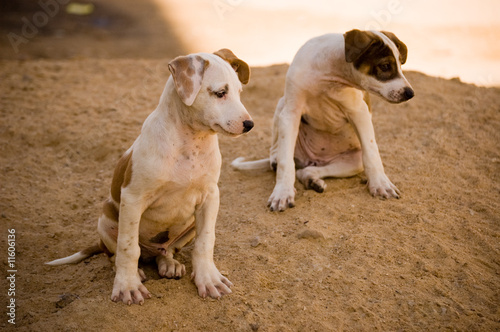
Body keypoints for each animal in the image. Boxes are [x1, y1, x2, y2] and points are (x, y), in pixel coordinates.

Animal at [47, 48, 254, 304]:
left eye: (239, 92)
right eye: (220, 93)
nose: (249, 124)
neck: (189, 142)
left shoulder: (210, 197)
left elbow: (205, 242)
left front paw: (208, 279)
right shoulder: (133, 198)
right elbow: (127, 248)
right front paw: (127, 287)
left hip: (187, 227)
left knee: (166, 251)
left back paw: (169, 264)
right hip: (105, 220)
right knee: (116, 254)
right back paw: (134, 272)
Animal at [233, 29, 414, 211]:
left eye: (400, 64)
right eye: (385, 66)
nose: (410, 93)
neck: (327, 75)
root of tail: (313, 160)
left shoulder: (359, 112)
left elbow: (372, 154)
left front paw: (381, 184)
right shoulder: (291, 113)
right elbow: (286, 162)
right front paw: (282, 192)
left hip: (355, 161)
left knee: (306, 170)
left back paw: (313, 180)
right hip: (282, 104)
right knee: (280, 153)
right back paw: (276, 160)